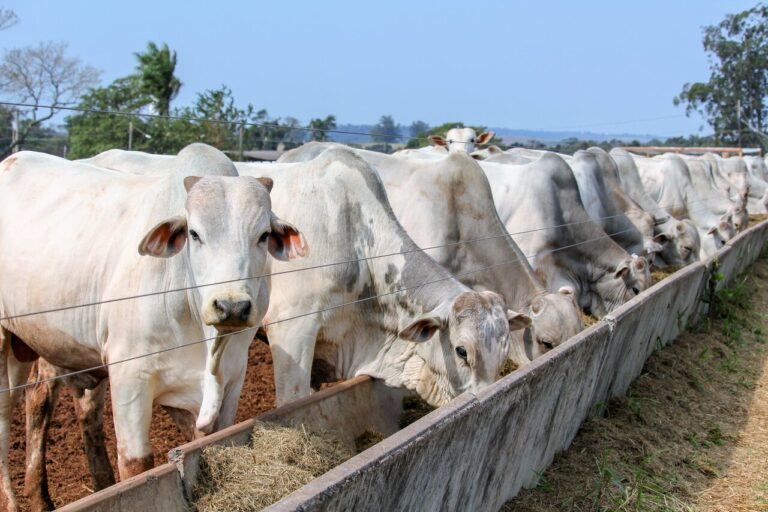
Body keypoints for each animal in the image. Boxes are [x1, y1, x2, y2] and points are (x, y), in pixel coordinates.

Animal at [0, 150, 304, 510]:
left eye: (263, 235)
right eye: (194, 234)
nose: (231, 306)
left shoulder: (231, 379)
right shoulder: (131, 379)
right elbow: (137, 466)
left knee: (60, 403)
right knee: (10, 418)